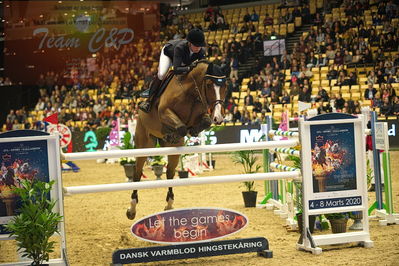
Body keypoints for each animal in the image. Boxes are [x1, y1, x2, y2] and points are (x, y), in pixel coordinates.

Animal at [126, 60, 230, 220]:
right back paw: (131, 209)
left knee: (169, 172)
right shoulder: (165, 112)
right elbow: (180, 126)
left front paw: (191, 131)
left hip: (174, 152)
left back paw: (169, 205)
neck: (191, 92)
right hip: (143, 144)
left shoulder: (201, 114)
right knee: (137, 174)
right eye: (208, 85)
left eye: (225, 86)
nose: (218, 118)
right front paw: (174, 133)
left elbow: (204, 122)